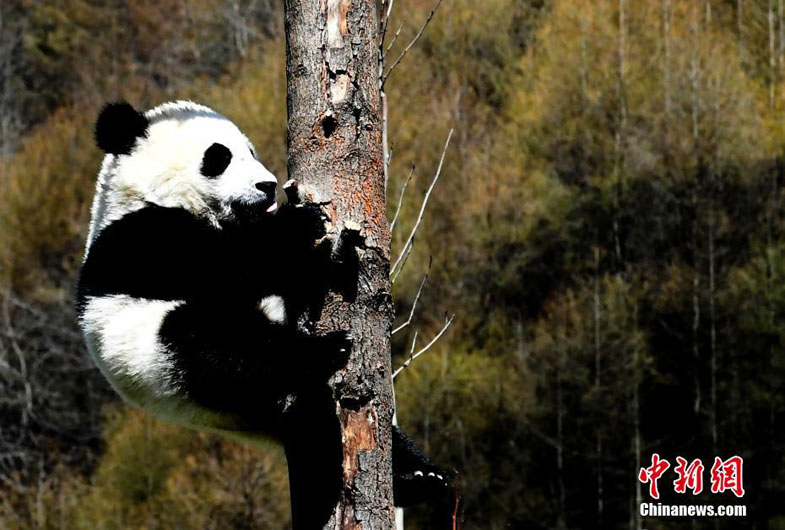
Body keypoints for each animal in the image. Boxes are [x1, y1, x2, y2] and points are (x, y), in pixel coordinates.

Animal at [78, 99, 454, 520]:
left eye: (251, 151)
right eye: (218, 157)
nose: (268, 186)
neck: (144, 196)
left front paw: (334, 253)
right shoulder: (143, 240)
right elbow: (232, 269)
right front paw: (300, 224)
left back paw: (420, 478)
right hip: (159, 360)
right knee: (219, 345)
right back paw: (323, 353)